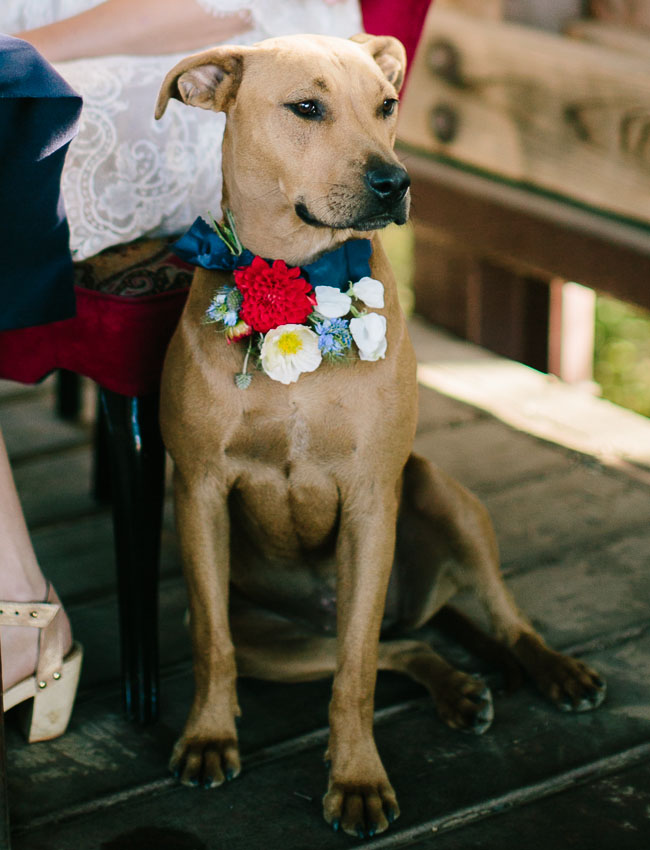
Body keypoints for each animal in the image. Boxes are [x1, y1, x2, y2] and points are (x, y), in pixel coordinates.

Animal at [154, 33, 604, 836]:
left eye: (388, 105)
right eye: (306, 107)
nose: (396, 182)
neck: (299, 280)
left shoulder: (369, 499)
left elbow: (356, 672)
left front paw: (357, 777)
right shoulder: (200, 492)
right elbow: (214, 643)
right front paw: (208, 734)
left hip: (444, 495)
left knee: (485, 615)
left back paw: (553, 668)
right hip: (279, 641)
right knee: (401, 643)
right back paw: (456, 684)